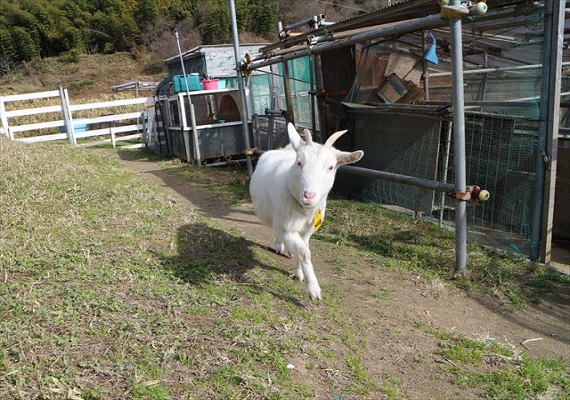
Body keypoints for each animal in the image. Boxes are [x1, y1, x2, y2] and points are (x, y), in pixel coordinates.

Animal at [250, 123, 364, 298]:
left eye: (331, 167)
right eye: (299, 163)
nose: (309, 195)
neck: (304, 210)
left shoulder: (307, 231)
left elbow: (304, 248)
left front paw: (299, 274)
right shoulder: (285, 226)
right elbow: (304, 252)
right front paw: (313, 289)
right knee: (277, 232)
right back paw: (279, 246)